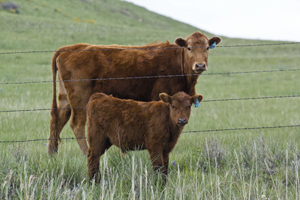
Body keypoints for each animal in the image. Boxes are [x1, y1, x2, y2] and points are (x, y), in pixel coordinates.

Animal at [49, 31, 221, 155]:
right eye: (189, 48)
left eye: (207, 48)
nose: (200, 65)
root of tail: (68, 48)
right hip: (80, 97)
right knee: (76, 124)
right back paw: (86, 153)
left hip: (65, 98)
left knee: (57, 119)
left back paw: (52, 153)